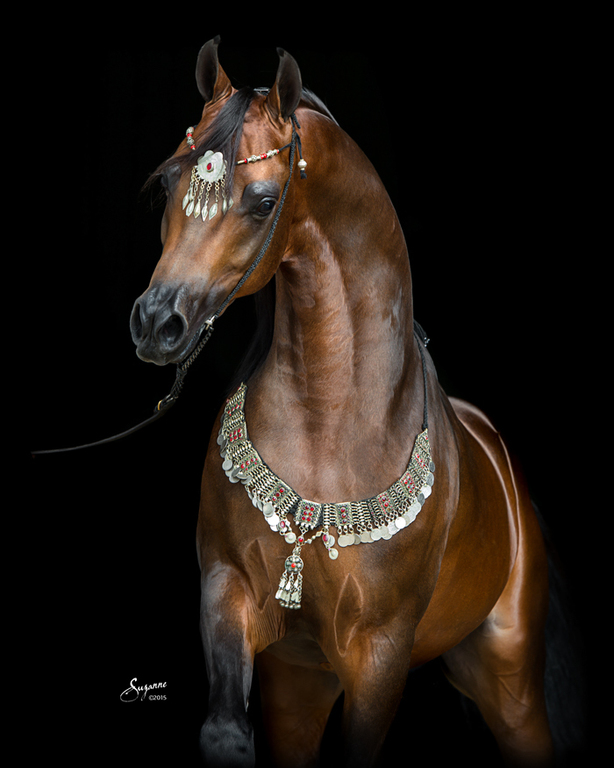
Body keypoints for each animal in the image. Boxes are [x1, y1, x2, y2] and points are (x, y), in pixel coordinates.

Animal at [129, 37, 565, 767]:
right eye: (166, 184)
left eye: (264, 201)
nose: (157, 323)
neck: (328, 428)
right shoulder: (232, 593)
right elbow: (224, 731)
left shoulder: (380, 653)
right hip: (305, 686)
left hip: (510, 684)